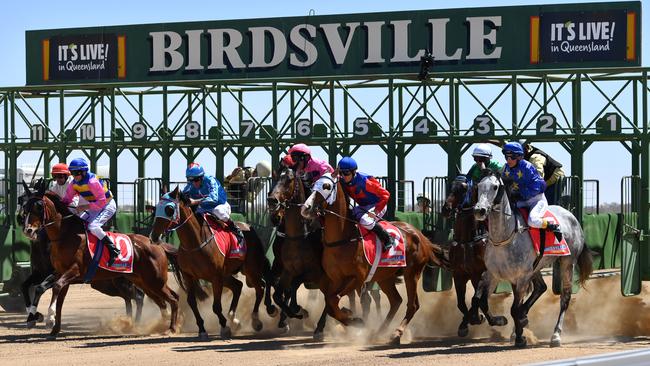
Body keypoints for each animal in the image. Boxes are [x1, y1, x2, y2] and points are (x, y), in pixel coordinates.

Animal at [21, 186, 178, 338]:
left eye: (39, 206)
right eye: (24, 208)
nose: (28, 230)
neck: (66, 236)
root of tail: (157, 244)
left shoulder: (73, 270)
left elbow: (54, 287)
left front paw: (49, 318)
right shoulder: (59, 273)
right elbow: (56, 297)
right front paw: (52, 327)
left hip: (154, 280)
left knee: (169, 298)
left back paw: (170, 328)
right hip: (140, 281)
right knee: (156, 301)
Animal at [149, 189, 274, 340]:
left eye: (169, 209)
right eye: (156, 209)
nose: (154, 236)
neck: (195, 243)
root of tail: (250, 228)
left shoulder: (215, 277)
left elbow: (216, 306)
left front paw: (224, 327)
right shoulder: (189, 276)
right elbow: (192, 302)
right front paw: (202, 329)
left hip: (251, 269)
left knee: (260, 288)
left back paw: (257, 319)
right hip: (229, 274)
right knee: (239, 286)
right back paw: (235, 320)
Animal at [300, 173, 448, 344]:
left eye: (326, 186)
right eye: (313, 185)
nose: (306, 208)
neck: (343, 239)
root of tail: (421, 237)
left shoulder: (357, 278)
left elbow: (334, 299)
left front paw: (355, 319)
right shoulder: (335, 279)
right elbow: (330, 302)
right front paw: (353, 319)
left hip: (412, 273)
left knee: (413, 305)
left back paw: (396, 333)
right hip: (386, 277)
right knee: (396, 301)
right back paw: (377, 332)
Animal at [440, 177, 506, 338]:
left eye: (464, 188)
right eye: (451, 185)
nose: (446, 208)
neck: (467, 240)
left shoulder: (484, 273)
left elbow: (477, 300)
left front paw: (485, 318)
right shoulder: (459, 275)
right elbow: (462, 303)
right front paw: (465, 324)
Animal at [470, 170, 592, 348]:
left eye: (495, 187)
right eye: (479, 185)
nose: (479, 210)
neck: (506, 238)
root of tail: (572, 216)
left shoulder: (521, 277)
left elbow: (514, 308)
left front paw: (520, 337)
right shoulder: (494, 274)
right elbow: (483, 302)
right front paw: (501, 321)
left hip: (567, 262)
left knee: (565, 297)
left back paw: (556, 335)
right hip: (536, 267)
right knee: (540, 288)